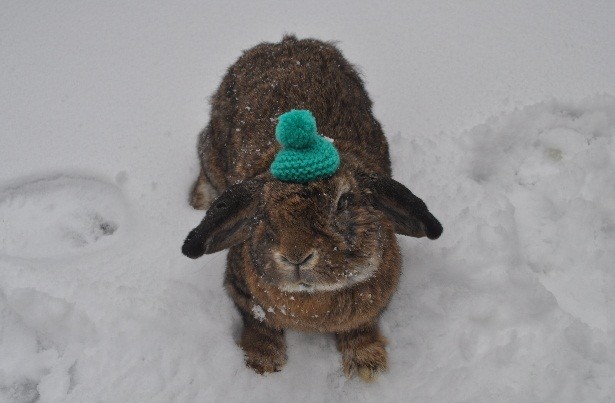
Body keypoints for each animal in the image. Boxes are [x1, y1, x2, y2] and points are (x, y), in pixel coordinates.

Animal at [182, 35, 442, 382]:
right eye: (263, 210)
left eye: (343, 202)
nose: (296, 255)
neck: (313, 297)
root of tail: (284, 43)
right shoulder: (242, 292)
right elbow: (259, 323)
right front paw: (262, 363)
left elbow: (361, 326)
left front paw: (366, 364)